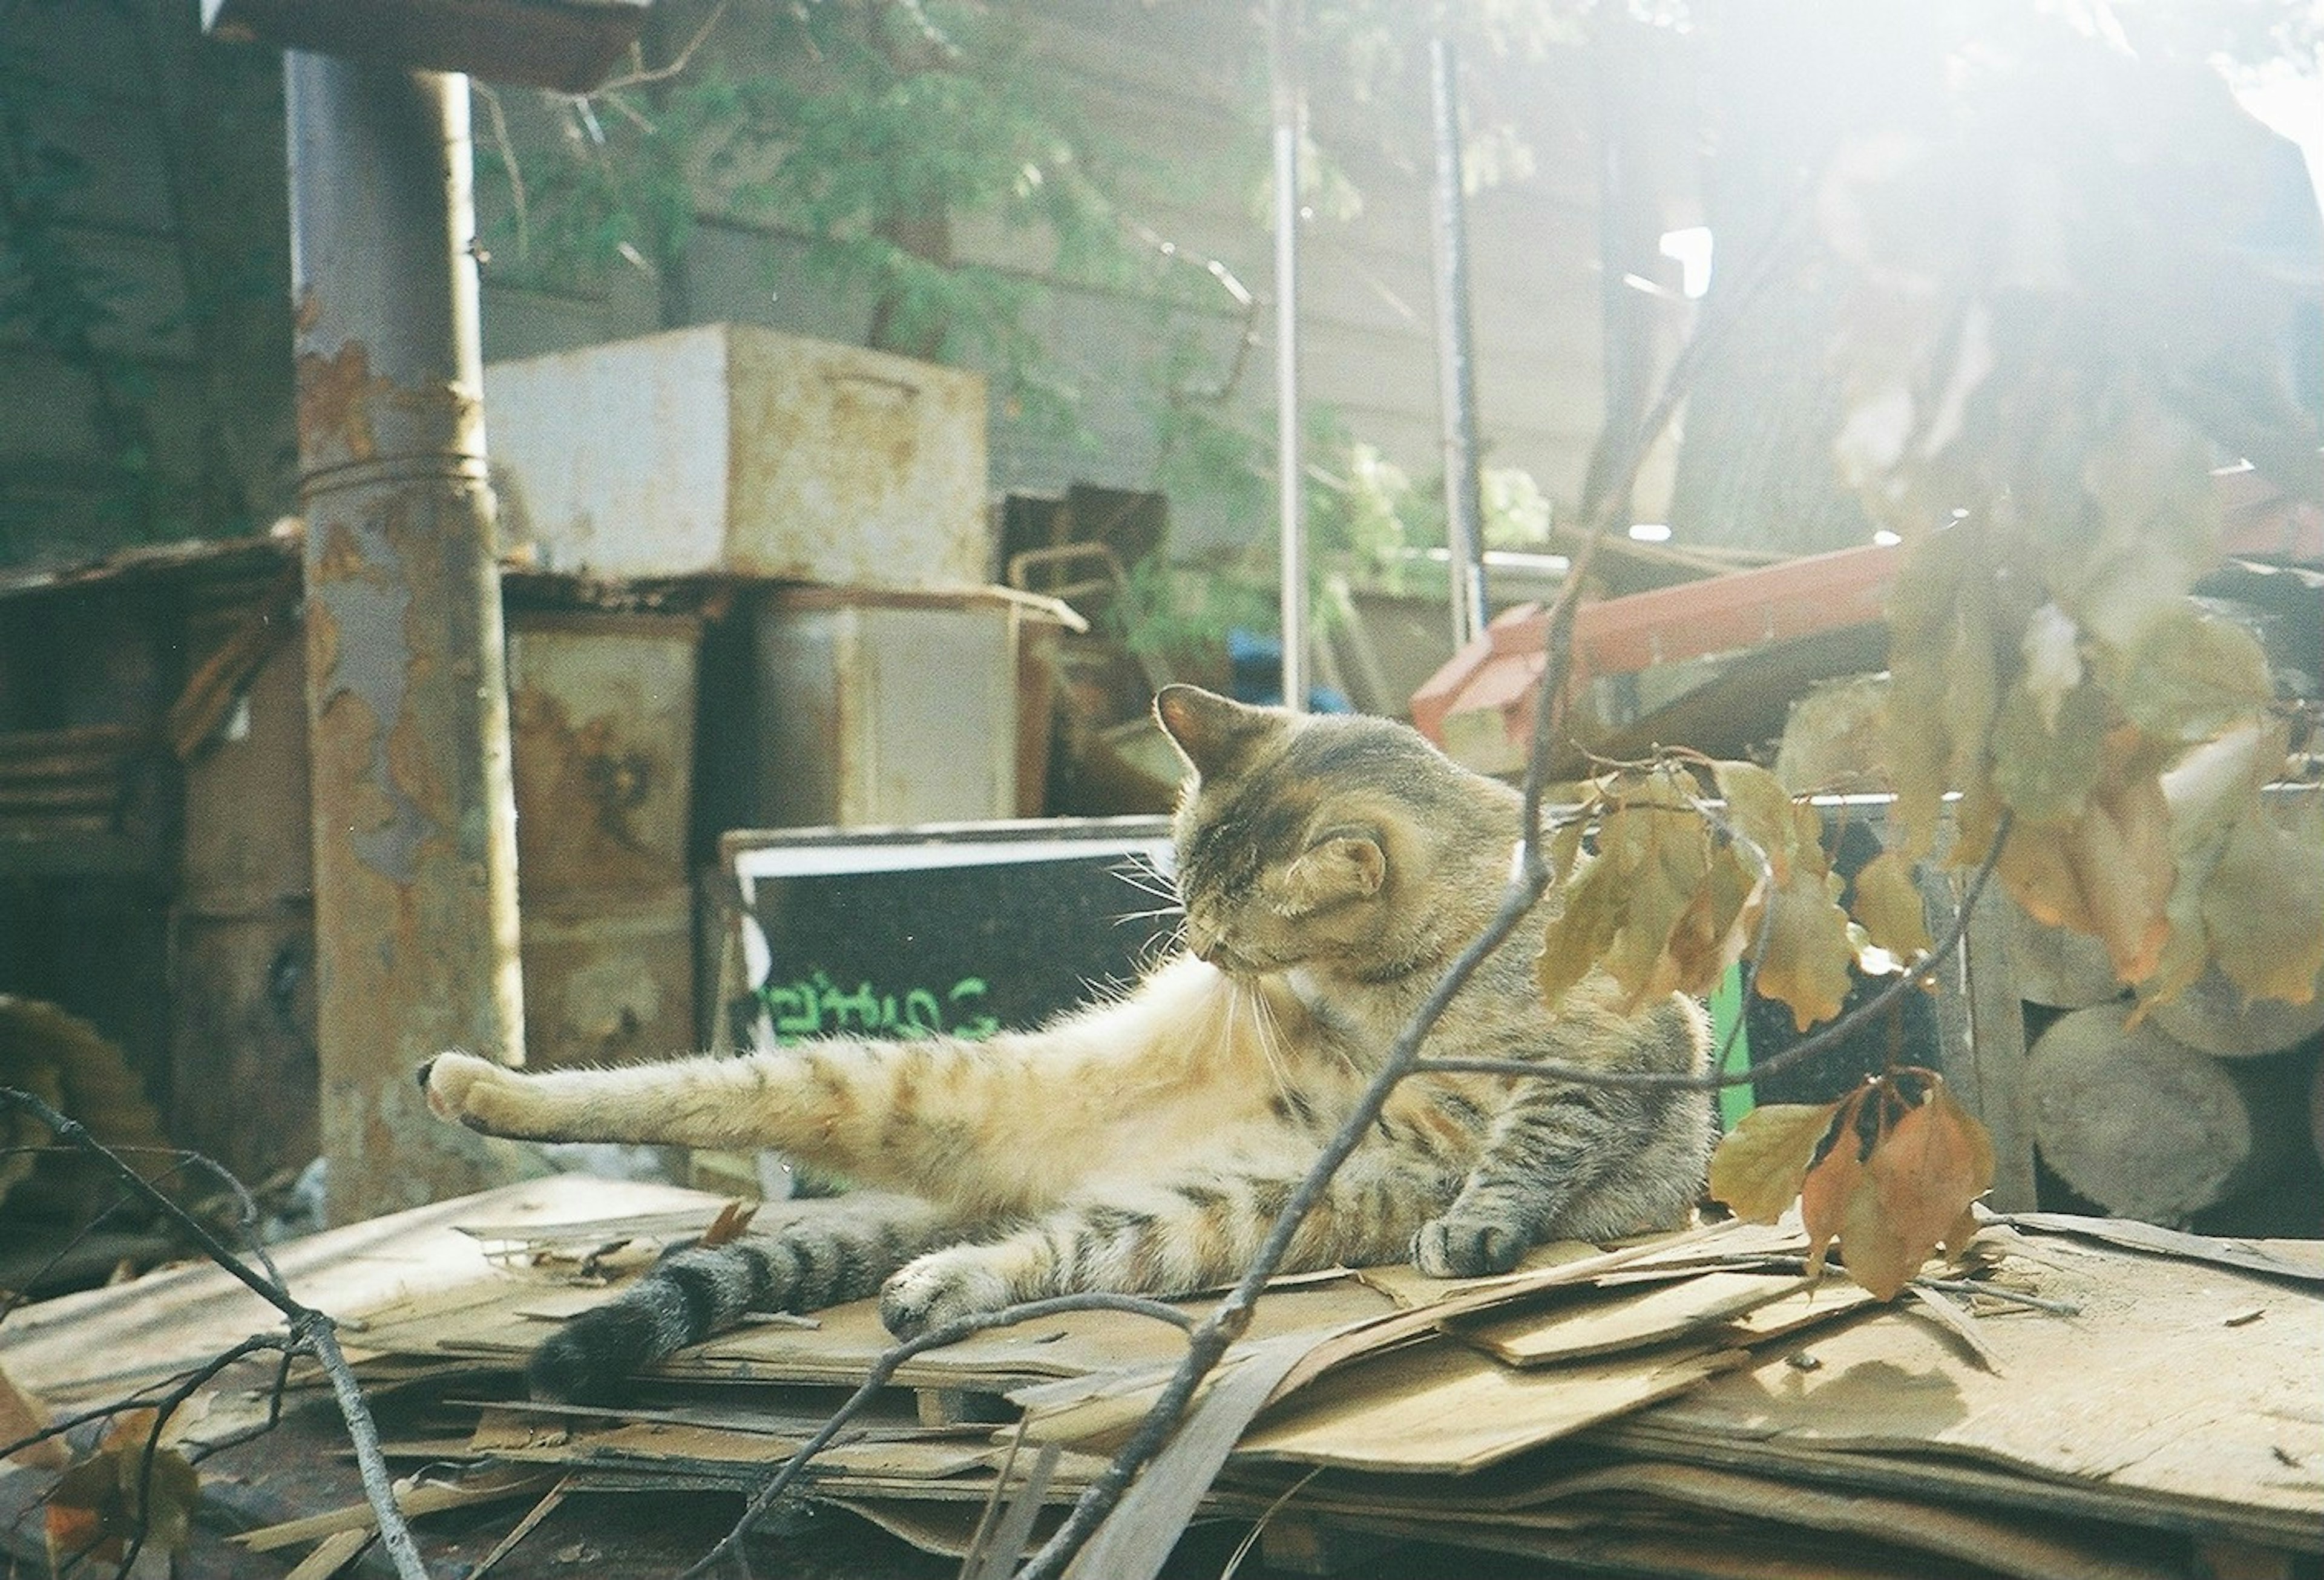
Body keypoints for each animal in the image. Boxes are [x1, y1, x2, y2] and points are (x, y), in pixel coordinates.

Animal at [427, 683, 1719, 1403]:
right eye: (1188, 901)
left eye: (1227, 924)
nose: (1198, 956)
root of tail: (1016, 1180)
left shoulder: (1615, 1056)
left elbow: (1535, 1143)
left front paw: (1481, 1222)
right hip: (905, 1078)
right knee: (681, 1088)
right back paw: (478, 1084)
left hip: (1215, 1213)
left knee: (1042, 1252)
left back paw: (937, 1284)